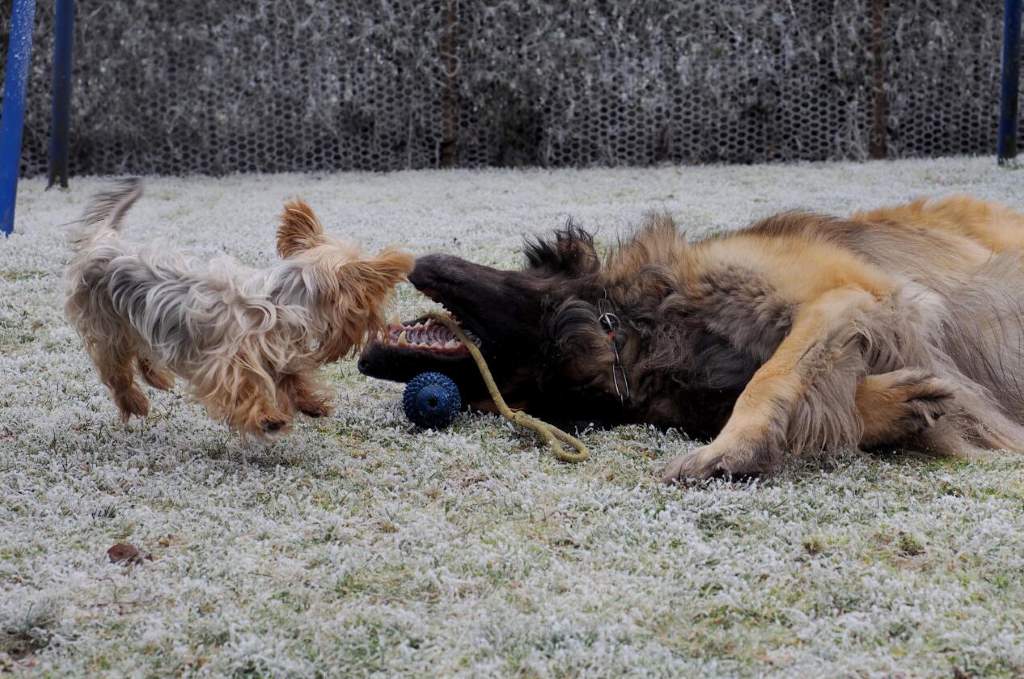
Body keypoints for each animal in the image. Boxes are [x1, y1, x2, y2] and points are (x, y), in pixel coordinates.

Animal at [65, 180, 411, 436]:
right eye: (371, 307)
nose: (383, 325)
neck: (282, 301)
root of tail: (105, 241)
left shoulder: (278, 353)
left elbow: (293, 377)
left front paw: (311, 404)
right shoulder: (227, 363)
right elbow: (242, 390)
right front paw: (268, 418)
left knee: (142, 351)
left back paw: (157, 377)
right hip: (106, 324)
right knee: (115, 369)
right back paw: (134, 402)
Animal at [358, 196, 1024, 483]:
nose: (418, 258)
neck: (629, 331)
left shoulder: (851, 295)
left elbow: (773, 377)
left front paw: (731, 451)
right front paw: (897, 406)